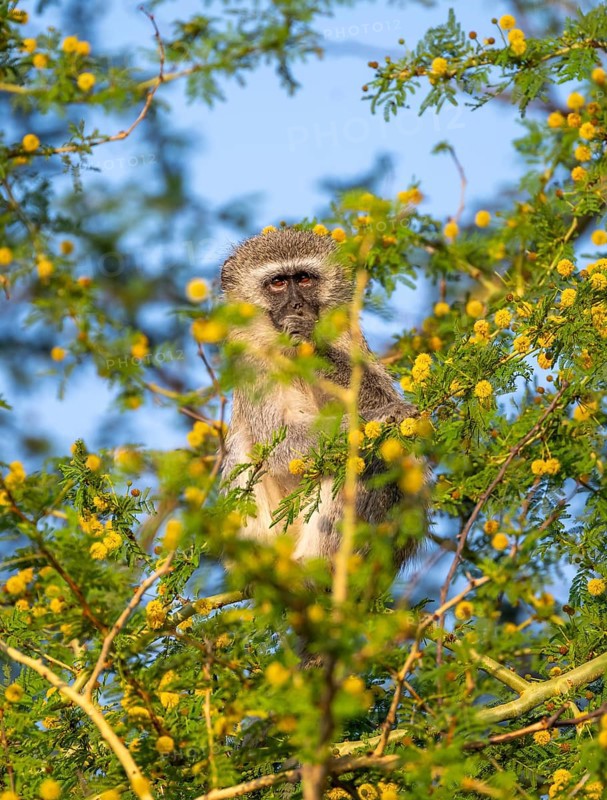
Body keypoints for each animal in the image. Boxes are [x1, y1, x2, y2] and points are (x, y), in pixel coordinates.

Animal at [219, 228, 421, 566]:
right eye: (277, 283)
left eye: (304, 279)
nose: (296, 307)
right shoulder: (251, 361)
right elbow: (280, 442)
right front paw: (381, 417)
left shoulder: (348, 336)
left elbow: (383, 395)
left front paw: (312, 343)